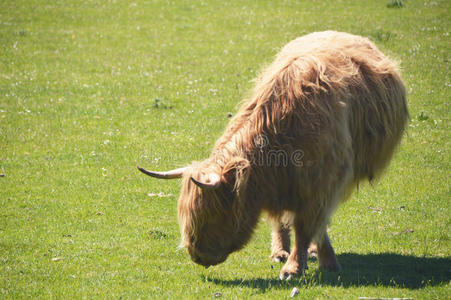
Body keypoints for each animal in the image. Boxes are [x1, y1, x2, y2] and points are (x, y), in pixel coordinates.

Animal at [139, 30, 410, 278]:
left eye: (211, 212)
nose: (196, 255)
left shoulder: (321, 186)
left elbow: (307, 226)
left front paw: (302, 266)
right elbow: (283, 220)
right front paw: (284, 254)